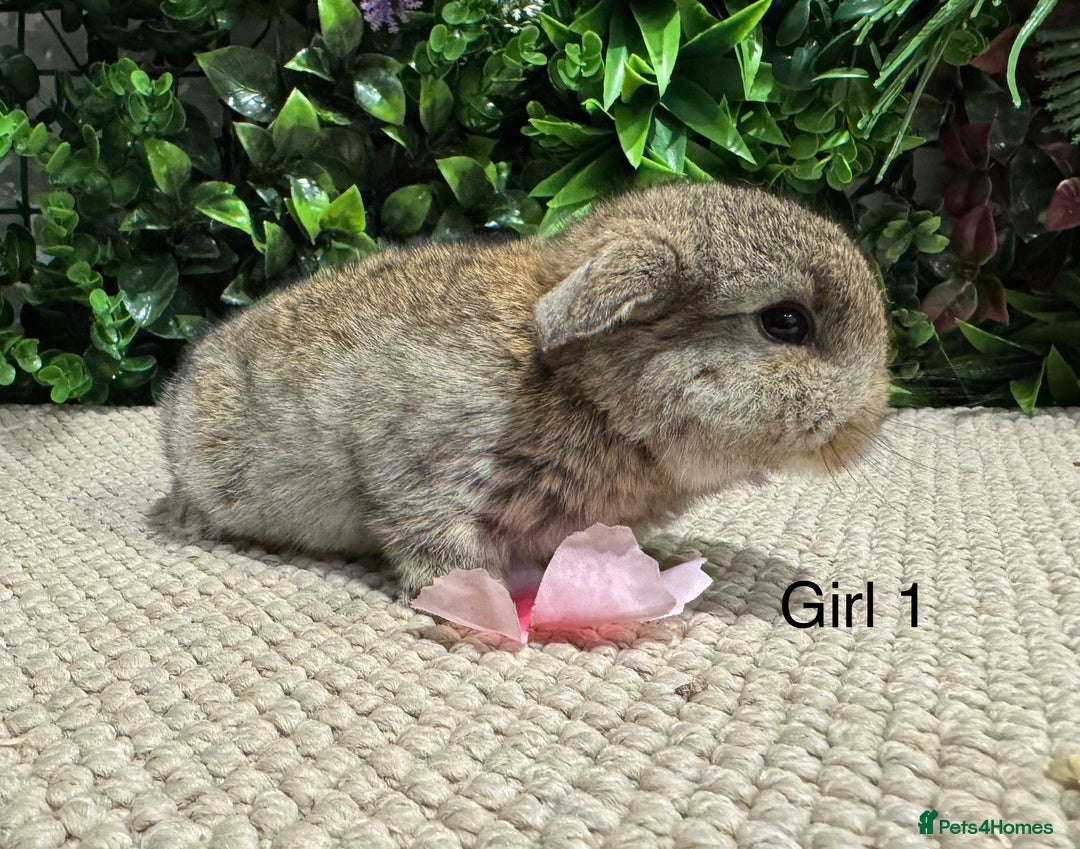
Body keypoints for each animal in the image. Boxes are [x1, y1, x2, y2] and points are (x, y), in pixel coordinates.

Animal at [160, 181, 891, 597]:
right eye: (785, 322)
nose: (869, 422)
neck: (589, 391)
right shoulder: (424, 468)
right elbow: (430, 536)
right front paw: (475, 600)